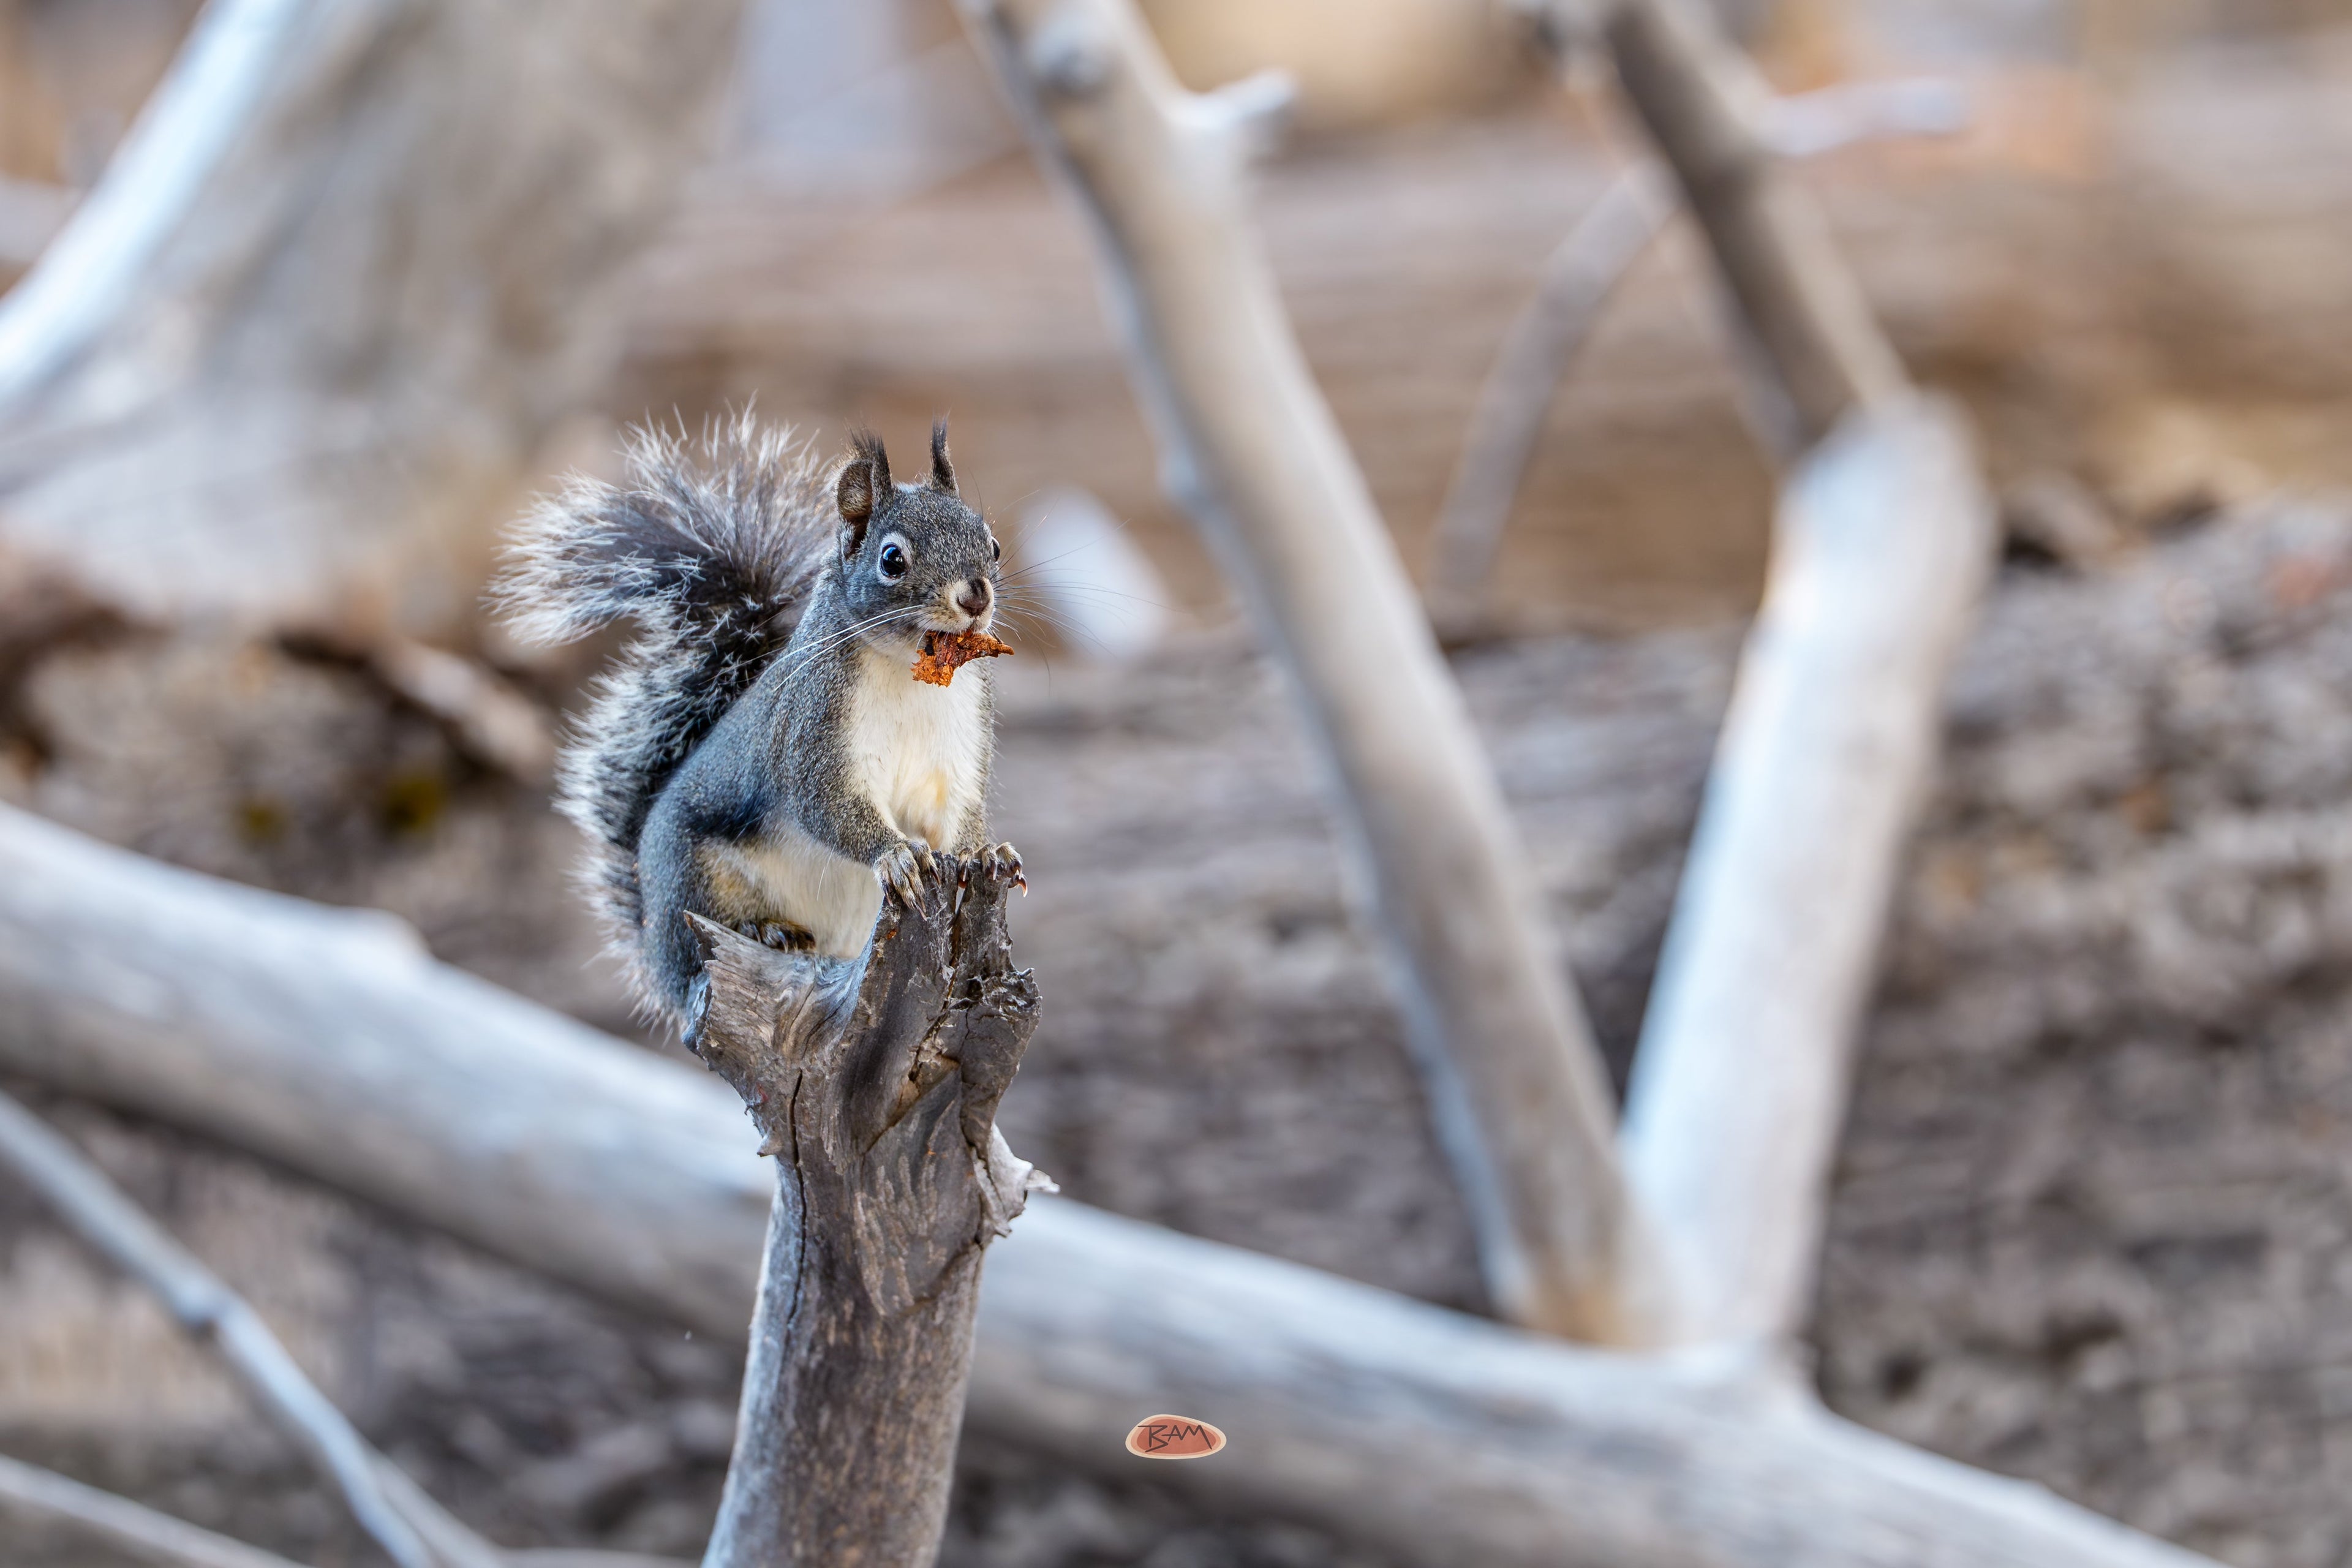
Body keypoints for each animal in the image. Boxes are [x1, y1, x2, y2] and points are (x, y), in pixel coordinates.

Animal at [496, 414, 1020, 1027]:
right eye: (893, 559)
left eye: (992, 544)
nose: (977, 597)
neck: (914, 674)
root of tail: (651, 945)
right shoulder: (811, 729)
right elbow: (827, 805)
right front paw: (895, 855)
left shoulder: (958, 751)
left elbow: (959, 814)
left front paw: (985, 853)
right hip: (694, 884)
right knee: (700, 946)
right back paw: (764, 929)